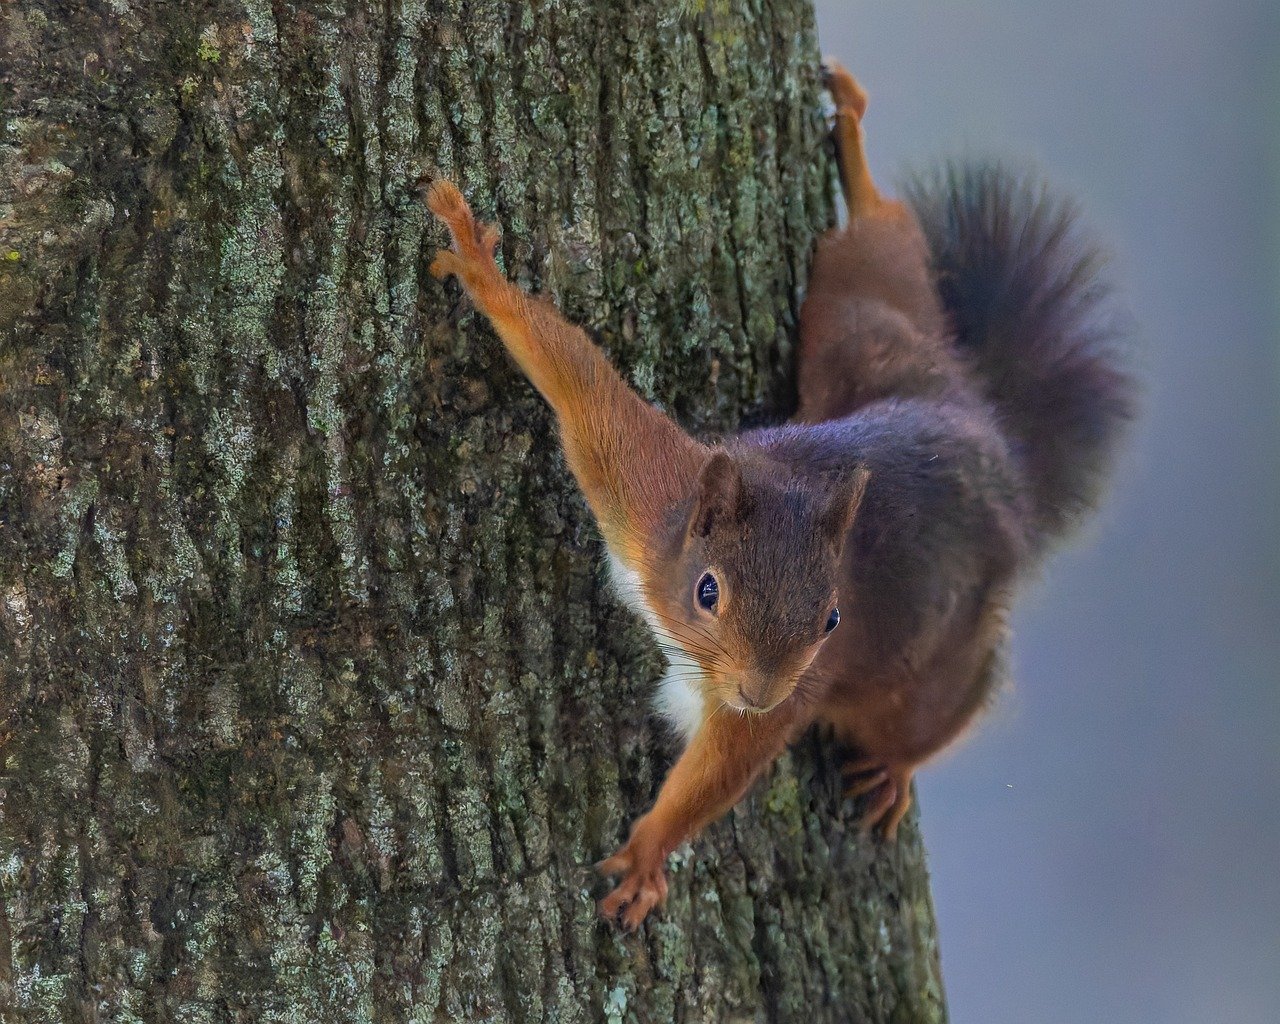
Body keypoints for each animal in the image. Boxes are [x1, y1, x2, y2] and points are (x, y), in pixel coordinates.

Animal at [425, 60, 1133, 931]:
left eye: (832, 619)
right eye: (708, 592)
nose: (759, 691)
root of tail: (996, 452)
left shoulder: (787, 681)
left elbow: (724, 771)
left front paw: (651, 851)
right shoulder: (646, 488)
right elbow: (578, 382)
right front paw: (482, 273)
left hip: (919, 662)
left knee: (946, 704)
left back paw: (897, 767)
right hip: (866, 337)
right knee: (880, 255)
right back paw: (857, 153)